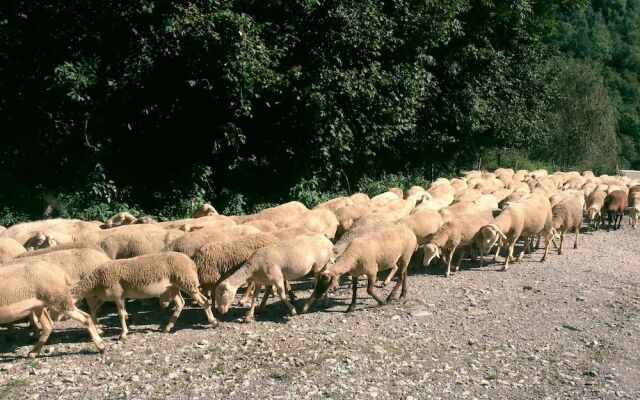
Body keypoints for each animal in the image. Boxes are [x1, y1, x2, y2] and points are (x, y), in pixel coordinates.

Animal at [71, 253, 214, 338]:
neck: (96, 282)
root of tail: (191, 262)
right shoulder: (105, 298)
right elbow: (94, 312)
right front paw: (98, 329)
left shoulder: (118, 296)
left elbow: (120, 314)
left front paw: (123, 334)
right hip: (175, 287)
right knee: (181, 303)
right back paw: (168, 327)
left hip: (186, 282)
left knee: (203, 301)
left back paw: (214, 321)